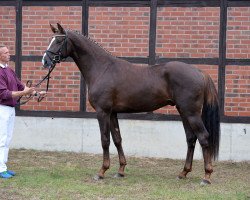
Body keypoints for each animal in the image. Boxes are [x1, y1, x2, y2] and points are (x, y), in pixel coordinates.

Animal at [42, 23, 220, 186]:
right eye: (51, 39)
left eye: (59, 41)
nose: (45, 60)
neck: (102, 68)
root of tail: (200, 72)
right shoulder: (112, 113)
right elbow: (117, 139)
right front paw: (120, 171)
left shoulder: (102, 112)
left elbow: (105, 140)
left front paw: (101, 172)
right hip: (183, 112)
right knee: (191, 139)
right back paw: (183, 173)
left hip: (191, 113)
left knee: (203, 137)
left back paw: (206, 176)